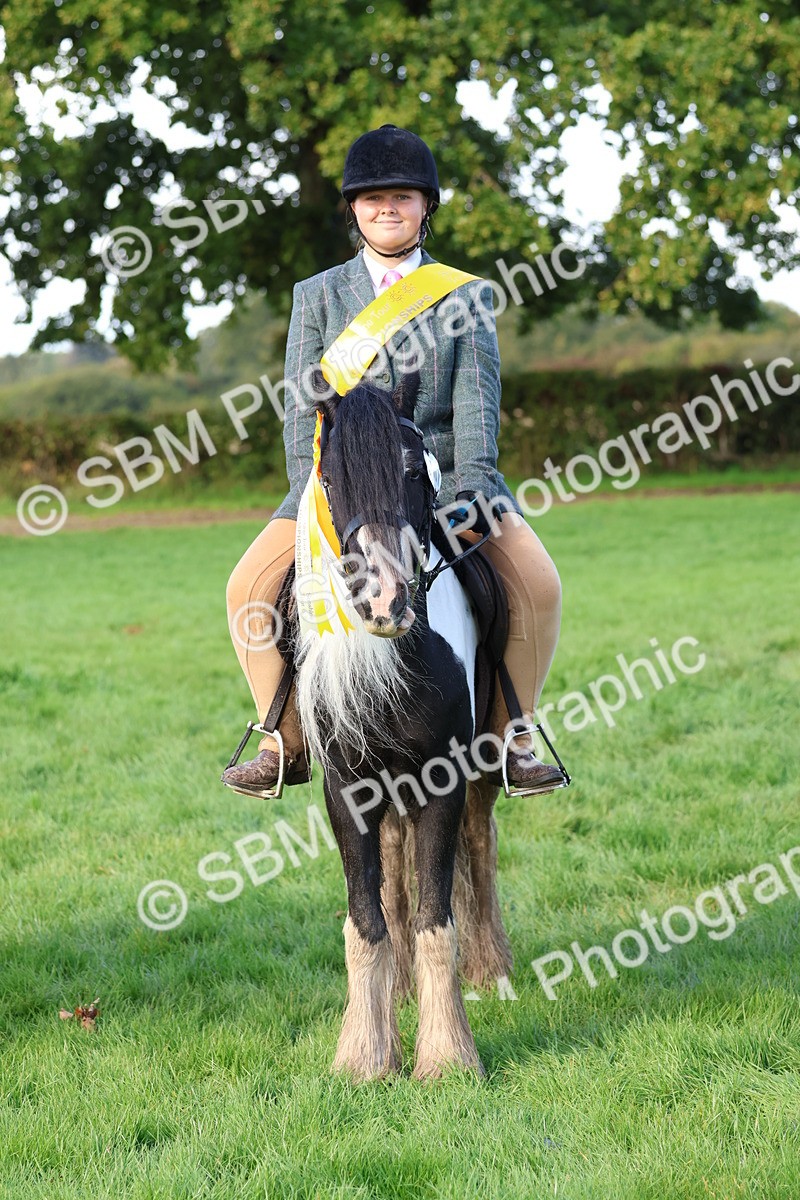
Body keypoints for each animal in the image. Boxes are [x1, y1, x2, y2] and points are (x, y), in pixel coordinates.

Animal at [280, 366, 515, 1082]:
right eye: (330, 479)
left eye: (415, 469)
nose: (383, 601)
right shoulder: (348, 786)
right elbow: (367, 917)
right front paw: (364, 1056)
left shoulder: (443, 777)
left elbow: (438, 917)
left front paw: (448, 1058)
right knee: (393, 867)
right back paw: (402, 990)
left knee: (478, 846)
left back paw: (492, 970)